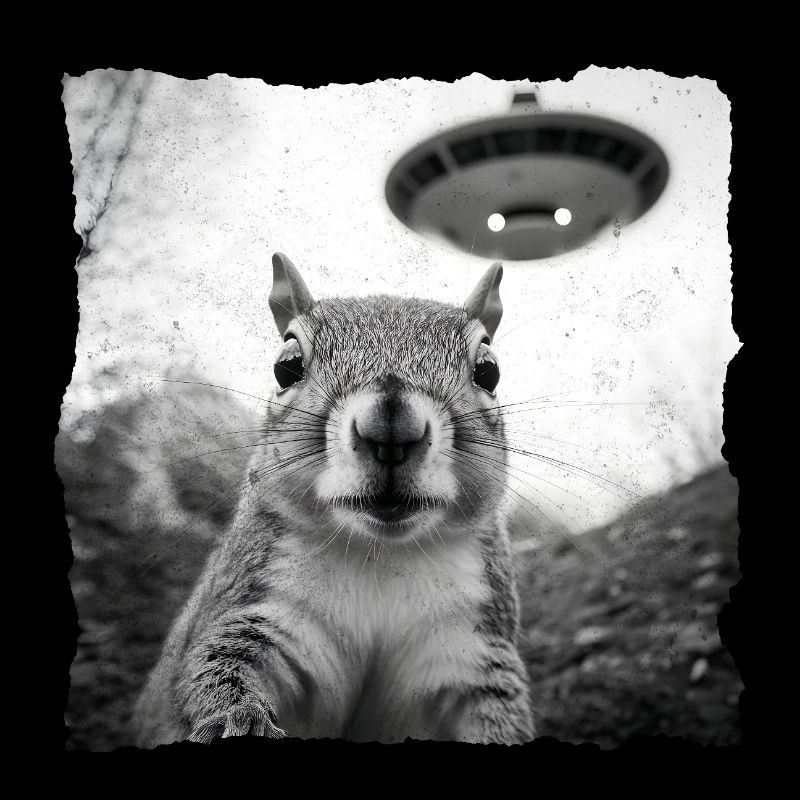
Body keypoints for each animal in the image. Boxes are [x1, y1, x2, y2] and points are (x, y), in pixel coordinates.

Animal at [134, 252, 535, 745]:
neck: (382, 555)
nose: (391, 427)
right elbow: (218, 666)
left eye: (488, 370)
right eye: (286, 365)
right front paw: (239, 720)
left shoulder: (470, 651)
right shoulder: (260, 610)